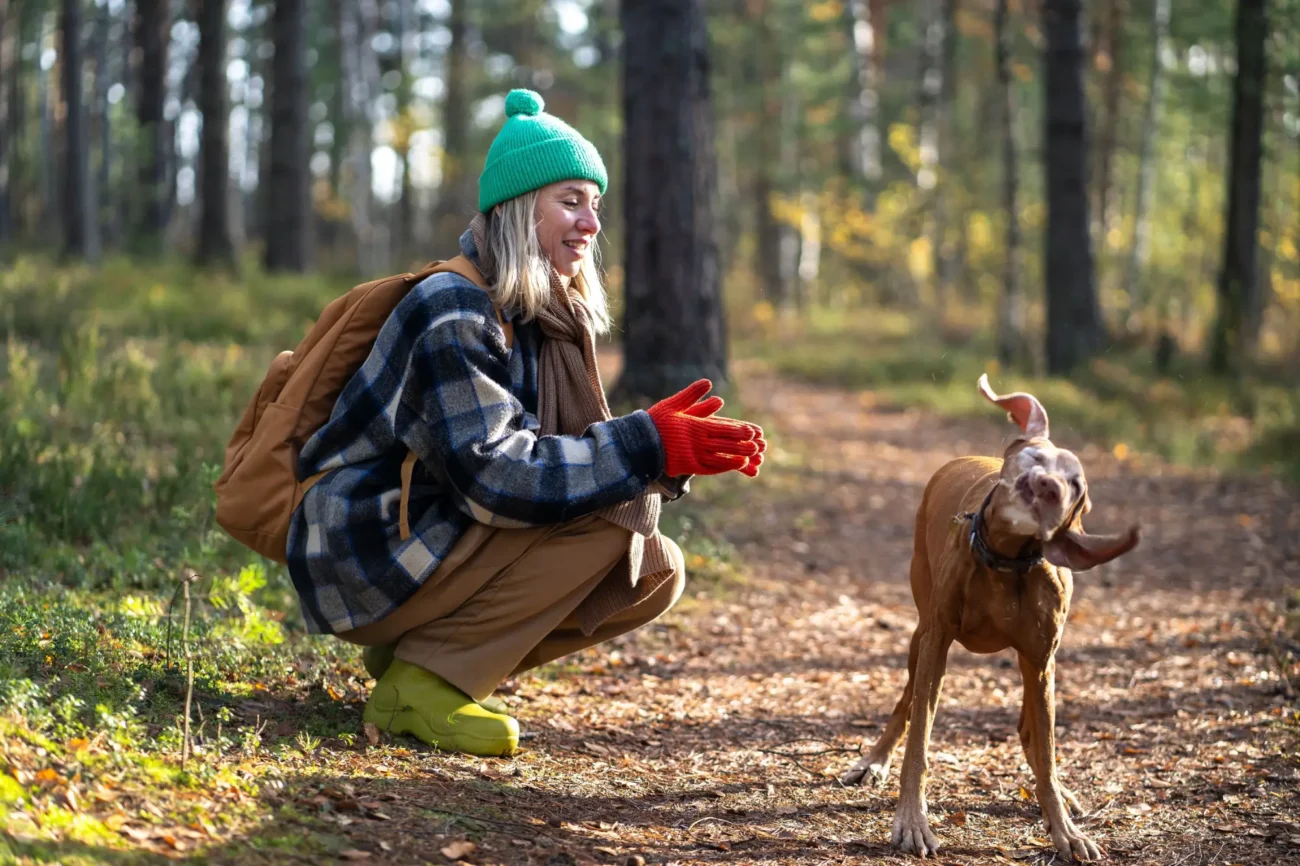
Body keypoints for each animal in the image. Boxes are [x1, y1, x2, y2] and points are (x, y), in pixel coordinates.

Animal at [842, 371, 1138, 858]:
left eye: (1075, 485)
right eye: (1035, 457)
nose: (1048, 487)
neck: (1005, 559)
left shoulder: (1040, 658)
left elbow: (1047, 751)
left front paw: (1064, 827)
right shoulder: (938, 642)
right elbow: (920, 739)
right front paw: (912, 821)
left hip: (1037, 663)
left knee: (1031, 729)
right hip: (921, 632)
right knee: (906, 702)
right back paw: (874, 761)